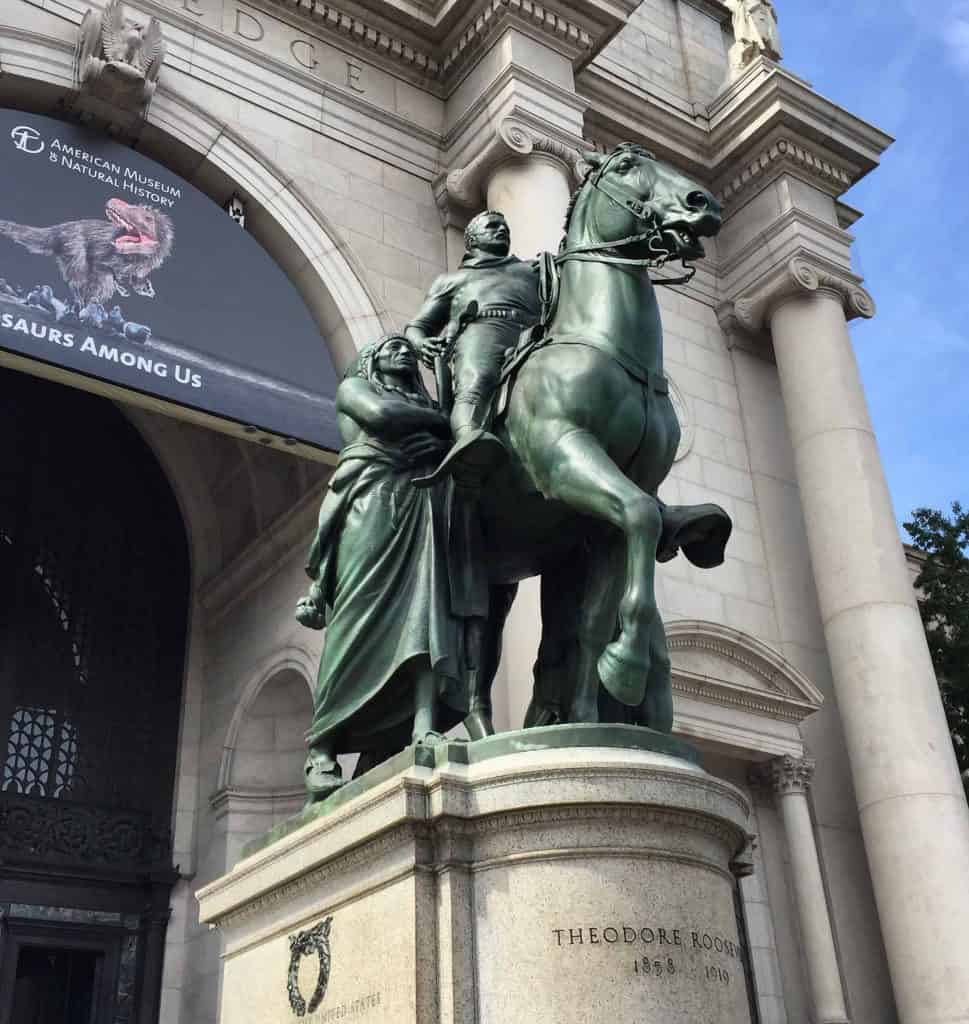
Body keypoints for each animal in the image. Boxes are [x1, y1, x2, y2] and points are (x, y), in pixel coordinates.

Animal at [471, 144, 729, 733]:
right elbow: (642, 513)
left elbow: (589, 624)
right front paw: (627, 665)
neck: (604, 343)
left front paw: (590, 716)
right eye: (627, 167)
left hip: (503, 570)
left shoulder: (599, 521)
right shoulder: (563, 454)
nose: (702, 202)